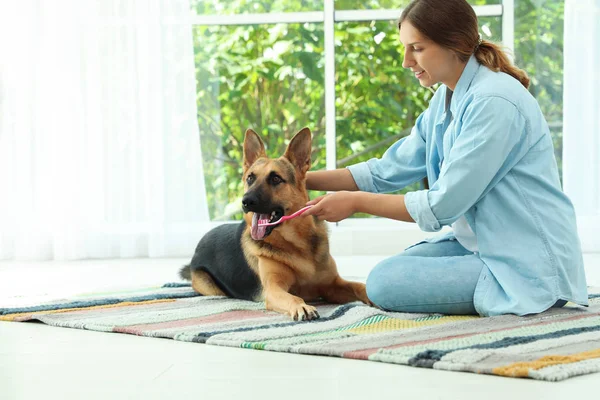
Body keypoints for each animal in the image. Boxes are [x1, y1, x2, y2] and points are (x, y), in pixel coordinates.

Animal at [180, 128, 372, 322]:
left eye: (276, 179)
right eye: (250, 178)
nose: (245, 201)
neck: (296, 243)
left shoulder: (332, 286)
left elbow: (360, 286)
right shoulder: (273, 289)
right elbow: (293, 297)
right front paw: (302, 306)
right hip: (211, 286)